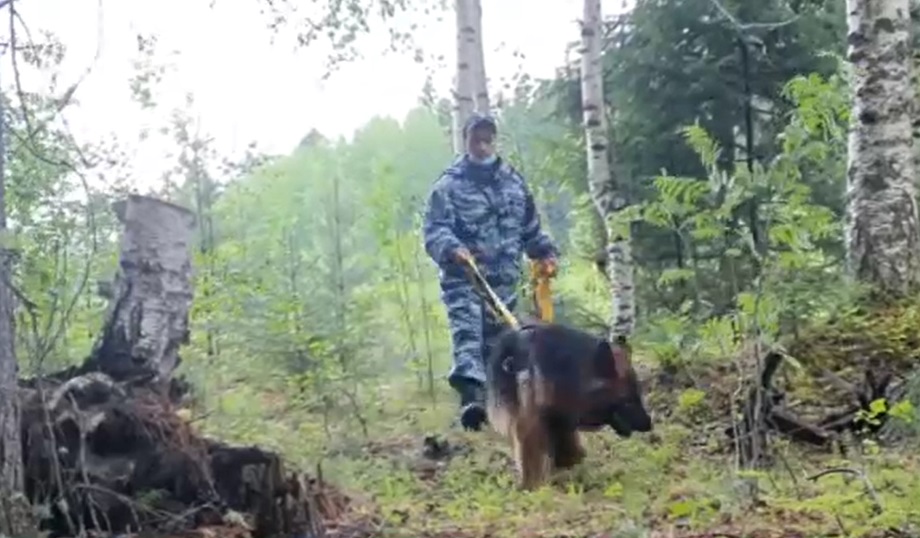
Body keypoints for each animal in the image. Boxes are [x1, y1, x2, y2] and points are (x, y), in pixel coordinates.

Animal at [485, 320, 653, 490]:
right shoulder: (540, 418)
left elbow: (569, 449)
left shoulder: (559, 417)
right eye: (628, 401)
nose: (649, 425)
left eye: (638, 395)